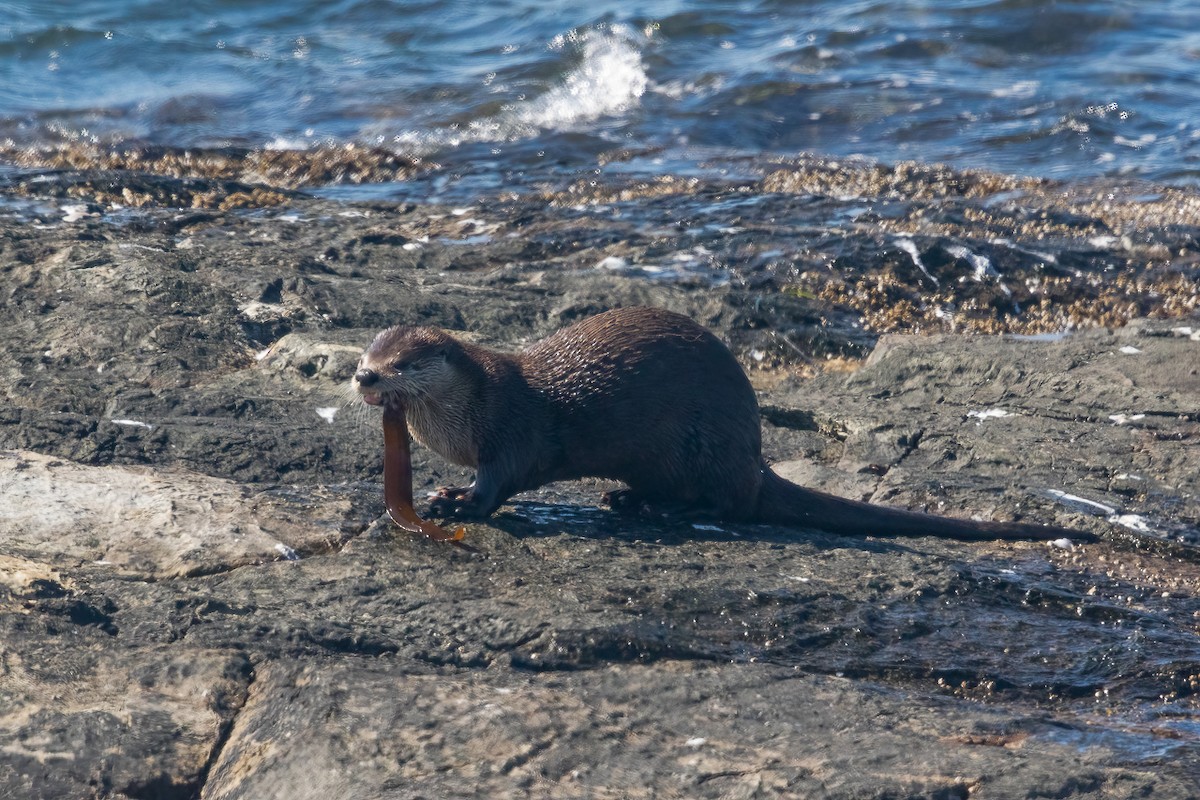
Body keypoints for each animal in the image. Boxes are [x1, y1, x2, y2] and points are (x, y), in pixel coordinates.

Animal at [353, 306, 1089, 541]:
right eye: (367, 353)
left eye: (404, 362)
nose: (365, 378)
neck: (470, 411)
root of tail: (756, 456)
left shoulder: (514, 430)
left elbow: (500, 483)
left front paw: (455, 501)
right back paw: (624, 498)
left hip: (705, 446)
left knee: (727, 504)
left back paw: (657, 508)